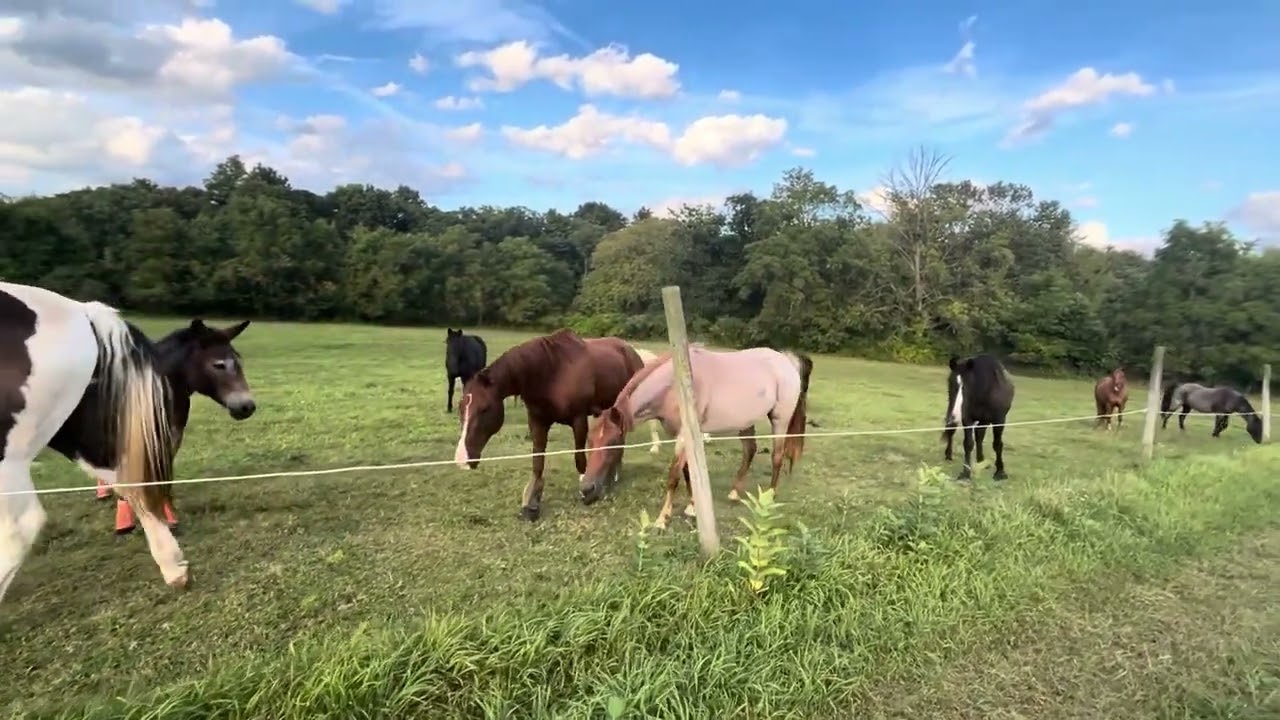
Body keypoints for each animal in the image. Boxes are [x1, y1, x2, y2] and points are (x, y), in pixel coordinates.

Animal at [80, 319, 256, 536]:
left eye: (238, 361)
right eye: (219, 365)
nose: (247, 407)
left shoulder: (171, 435)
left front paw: (167, 515)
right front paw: (125, 520)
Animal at [452, 328, 645, 521]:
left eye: (484, 409)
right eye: (460, 408)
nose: (462, 459)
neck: (552, 372)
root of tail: (630, 349)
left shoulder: (579, 419)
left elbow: (579, 458)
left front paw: (585, 489)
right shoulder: (538, 421)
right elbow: (538, 461)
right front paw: (531, 504)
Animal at [580, 346, 810, 529]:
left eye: (612, 442)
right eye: (590, 441)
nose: (586, 490)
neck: (675, 387)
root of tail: (785, 360)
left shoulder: (684, 435)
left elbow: (674, 476)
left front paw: (662, 518)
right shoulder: (682, 436)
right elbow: (687, 472)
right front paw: (692, 507)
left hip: (780, 420)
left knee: (777, 457)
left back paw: (770, 497)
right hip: (746, 421)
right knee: (750, 451)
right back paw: (734, 492)